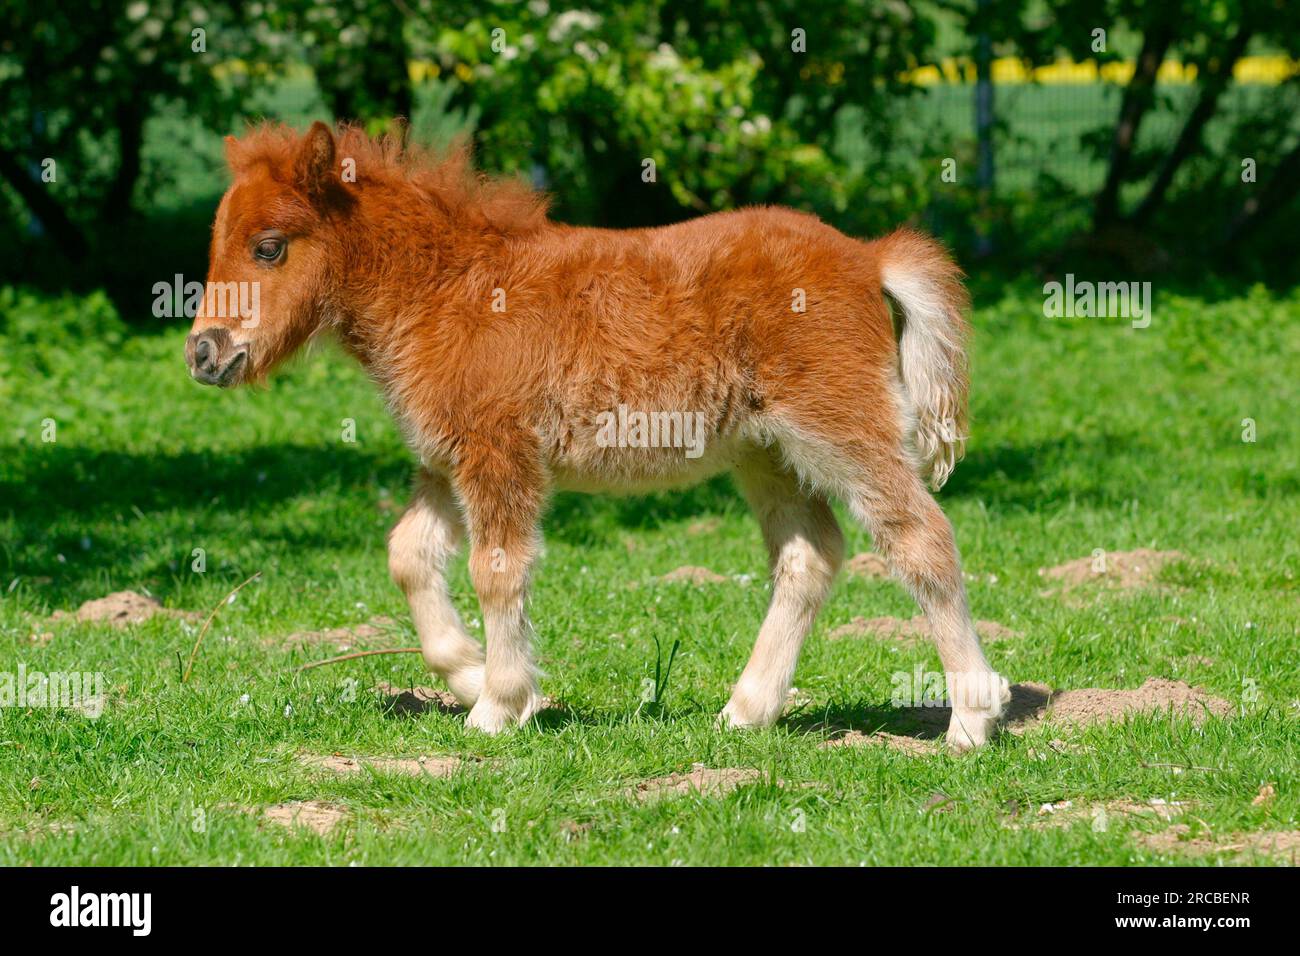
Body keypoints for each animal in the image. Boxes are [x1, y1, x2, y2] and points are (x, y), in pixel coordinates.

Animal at [188, 121, 1008, 749]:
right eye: (218, 241)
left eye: (269, 246)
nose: (203, 353)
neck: (445, 291)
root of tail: (868, 256)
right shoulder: (447, 461)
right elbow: (409, 556)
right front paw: (468, 673)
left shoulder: (500, 454)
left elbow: (497, 570)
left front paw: (499, 707)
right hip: (767, 451)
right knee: (809, 557)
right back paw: (746, 711)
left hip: (839, 425)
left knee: (921, 539)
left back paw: (972, 718)